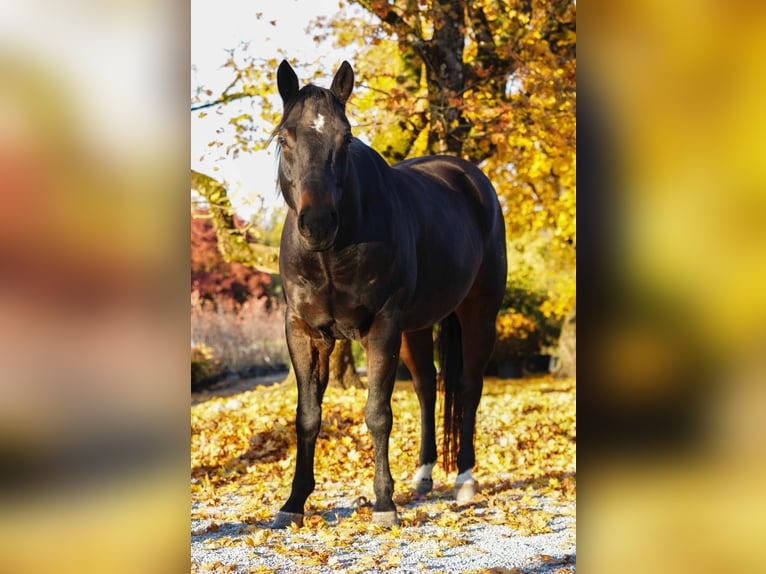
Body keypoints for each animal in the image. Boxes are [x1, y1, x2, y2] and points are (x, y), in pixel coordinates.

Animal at [271, 60, 507, 528]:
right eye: (284, 139)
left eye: (345, 139)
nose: (317, 224)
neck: (332, 256)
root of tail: (469, 177)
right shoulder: (304, 332)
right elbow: (307, 417)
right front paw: (294, 503)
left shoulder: (382, 326)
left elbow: (378, 414)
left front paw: (383, 503)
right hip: (415, 328)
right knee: (427, 387)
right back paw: (424, 476)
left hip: (478, 316)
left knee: (469, 388)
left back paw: (464, 481)